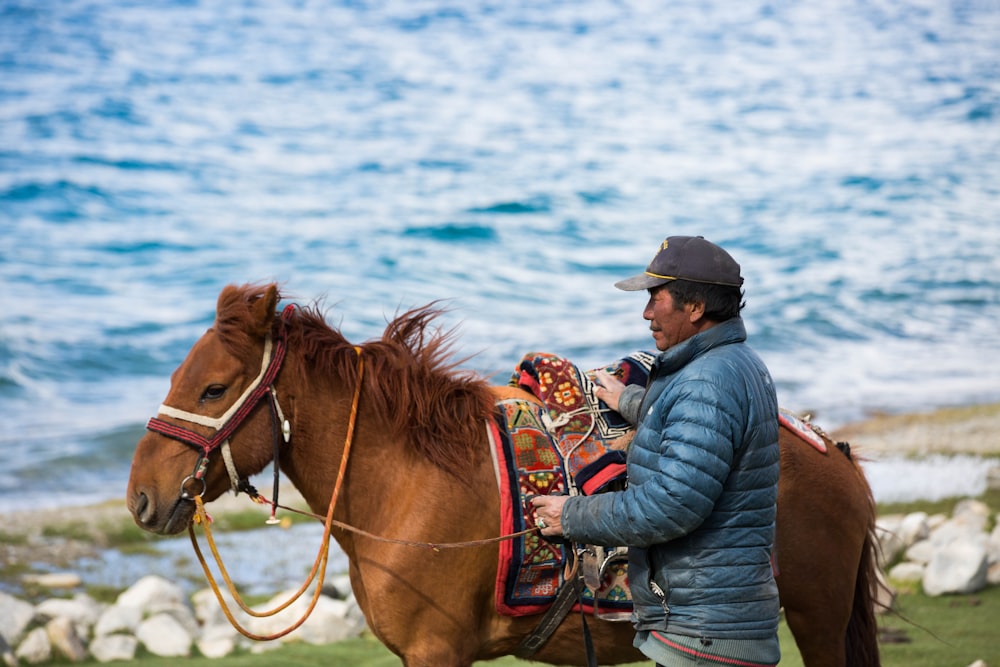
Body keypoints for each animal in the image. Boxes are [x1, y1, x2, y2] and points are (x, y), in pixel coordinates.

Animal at [127, 284, 884, 667]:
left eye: (214, 388)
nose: (141, 498)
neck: (405, 486)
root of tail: (833, 453)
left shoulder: (436, 653)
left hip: (815, 621)